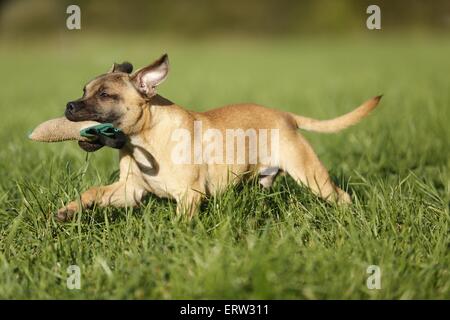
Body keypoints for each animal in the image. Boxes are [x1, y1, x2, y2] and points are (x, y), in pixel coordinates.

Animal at [55, 54, 380, 220]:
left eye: (105, 95)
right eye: (84, 90)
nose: (69, 105)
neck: (143, 139)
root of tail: (286, 116)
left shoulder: (189, 196)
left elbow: (181, 222)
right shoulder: (129, 191)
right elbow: (92, 192)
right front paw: (67, 211)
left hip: (311, 175)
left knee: (341, 196)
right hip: (263, 179)